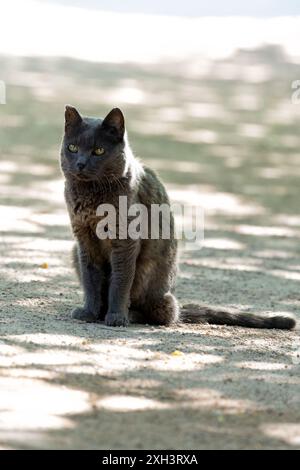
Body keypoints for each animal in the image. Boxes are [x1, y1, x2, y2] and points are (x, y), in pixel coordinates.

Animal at [59, 104, 296, 328]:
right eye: (73, 148)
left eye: (99, 150)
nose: (80, 163)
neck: (90, 195)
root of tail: (178, 306)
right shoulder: (84, 239)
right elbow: (91, 279)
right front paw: (89, 312)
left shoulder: (125, 240)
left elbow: (120, 281)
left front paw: (116, 317)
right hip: (74, 251)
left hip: (152, 276)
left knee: (159, 314)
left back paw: (130, 315)